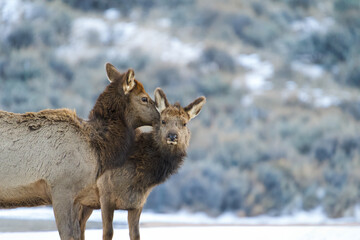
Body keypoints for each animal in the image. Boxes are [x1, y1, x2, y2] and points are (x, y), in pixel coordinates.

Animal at [0, 62, 159, 239]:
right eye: (144, 98)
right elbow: (68, 234)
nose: (161, 118)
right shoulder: (62, 188)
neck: (97, 149)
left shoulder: (78, 197)